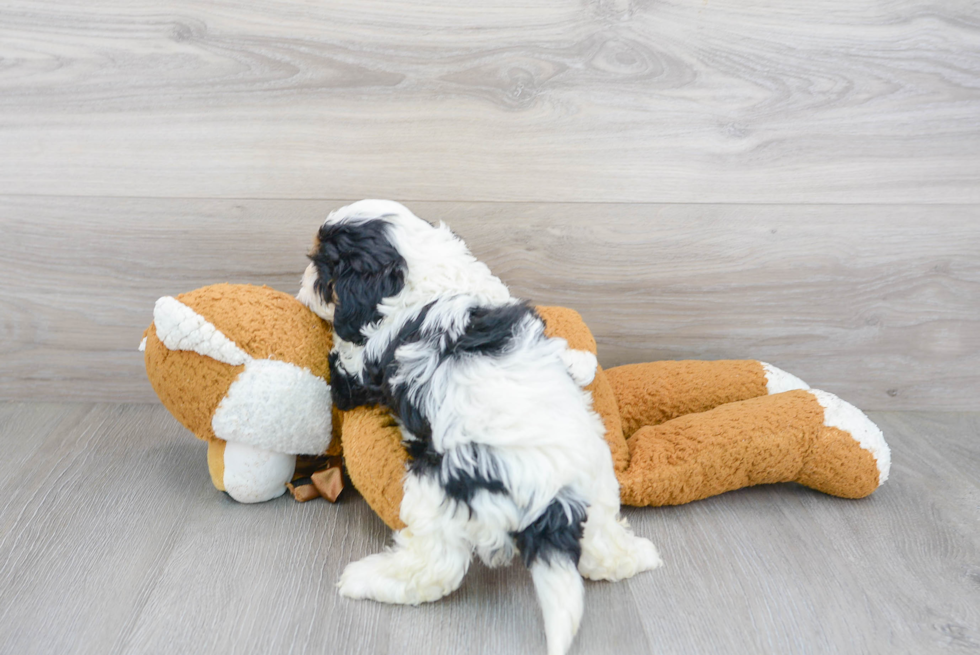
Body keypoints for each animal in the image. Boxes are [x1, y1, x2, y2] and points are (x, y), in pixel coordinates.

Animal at [294, 200, 656, 655]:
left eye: (322, 268)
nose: (302, 283)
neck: (428, 280)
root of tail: (550, 500)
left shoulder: (362, 366)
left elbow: (343, 362)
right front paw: (581, 363)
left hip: (438, 494)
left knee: (437, 566)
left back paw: (364, 579)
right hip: (597, 481)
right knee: (600, 539)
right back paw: (638, 556)